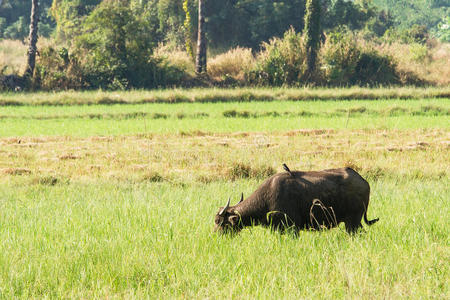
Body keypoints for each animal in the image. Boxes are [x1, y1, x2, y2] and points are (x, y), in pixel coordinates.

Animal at [215, 164, 380, 234]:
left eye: (219, 222)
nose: (216, 234)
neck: (266, 198)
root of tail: (364, 181)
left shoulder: (292, 228)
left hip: (352, 222)